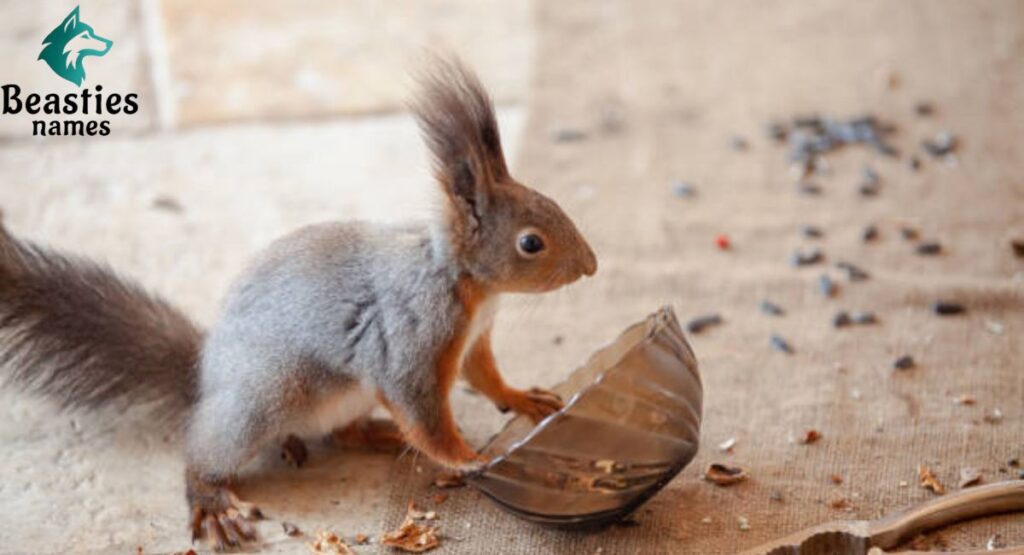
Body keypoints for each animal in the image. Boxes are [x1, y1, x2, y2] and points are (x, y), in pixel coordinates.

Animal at [0, 57, 597, 551]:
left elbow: (485, 376)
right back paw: (212, 497)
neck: (468, 285)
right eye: (531, 243)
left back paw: (374, 433)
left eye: (553, 203)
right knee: (207, 447)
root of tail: (206, 377)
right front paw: (469, 458)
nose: (591, 266)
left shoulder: (472, 340)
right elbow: (422, 410)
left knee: (341, 432)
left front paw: (522, 398)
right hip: (266, 397)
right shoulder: (414, 333)